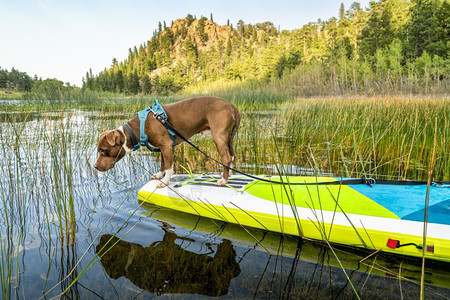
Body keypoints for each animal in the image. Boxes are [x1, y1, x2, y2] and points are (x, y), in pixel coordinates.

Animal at [93, 96, 241, 188]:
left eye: (103, 150)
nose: (95, 166)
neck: (138, 128)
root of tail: (231, 105)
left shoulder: (167, 146)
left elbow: (169, 167)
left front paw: (164, 183)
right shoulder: (162, 148)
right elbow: (163, 163)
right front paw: (159, 175)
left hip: (219, 137)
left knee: (226, 157)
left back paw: (223, 180)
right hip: (229, 138)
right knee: (232, 155)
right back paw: (229, 175)